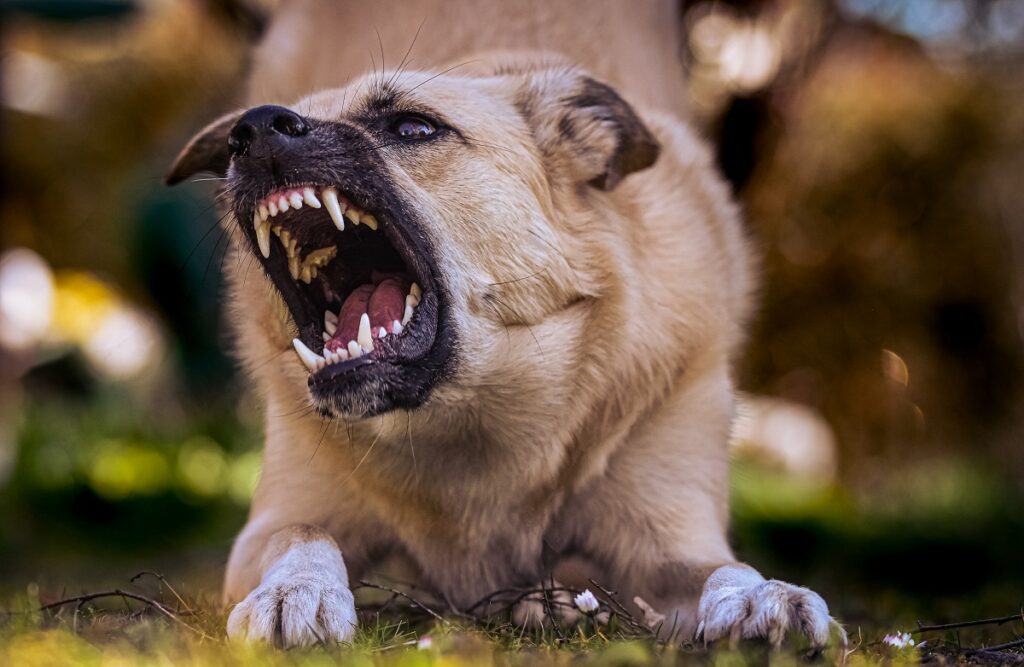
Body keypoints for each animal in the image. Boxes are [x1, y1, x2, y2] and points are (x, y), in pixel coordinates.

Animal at [167, 0, 839, 651]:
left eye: (413, 127)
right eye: (242, 134)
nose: (252, 129)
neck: (469, 420)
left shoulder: (670, 539)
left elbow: (722, 568)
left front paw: (761, 596)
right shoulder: (274, 523)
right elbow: (305, 534)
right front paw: (295, 591)